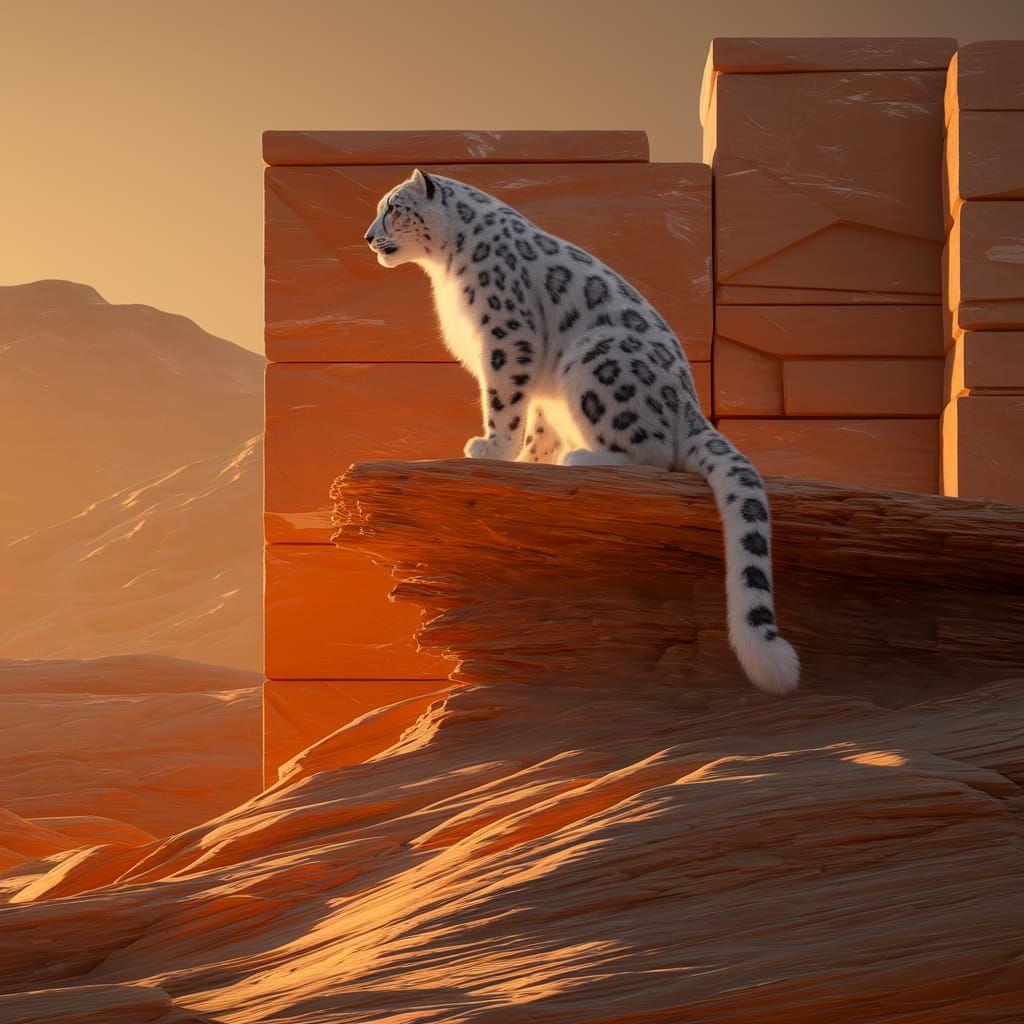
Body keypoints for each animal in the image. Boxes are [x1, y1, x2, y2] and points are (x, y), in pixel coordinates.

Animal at [364, 169, 799, 696]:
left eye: (393, 207)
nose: (368, 238)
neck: (446, 266)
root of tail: (691, 405)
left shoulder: (508, 336)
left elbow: (504, 401)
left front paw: (491, 448)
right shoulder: (540, 384)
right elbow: (537, 424)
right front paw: (529, 462)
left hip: (596, 356)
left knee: (654, 454)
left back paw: (585, 458)